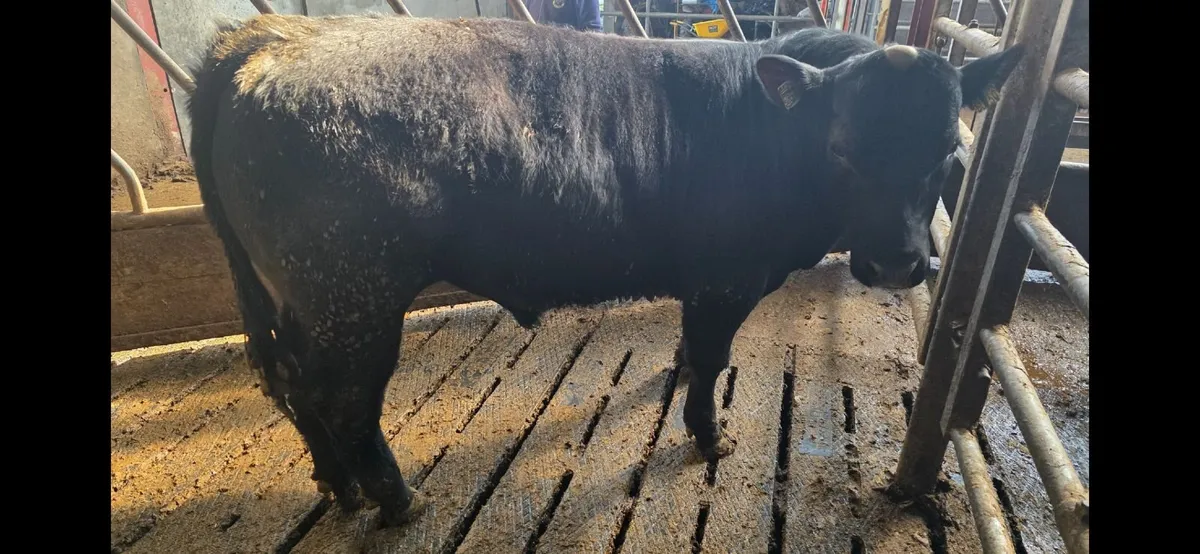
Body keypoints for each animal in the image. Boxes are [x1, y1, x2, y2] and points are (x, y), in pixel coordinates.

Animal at [188, 13, 1021, 526]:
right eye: (844, 148)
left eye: (950, 147)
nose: (899, 262)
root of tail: (276, 35)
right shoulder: (726, 278)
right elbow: (712, 359)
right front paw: (709, 438)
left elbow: (692, 352)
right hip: (351, 293)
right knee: (343, 402)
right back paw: (398, 501)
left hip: (302, 298)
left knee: (292, 385)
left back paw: (341, 487)